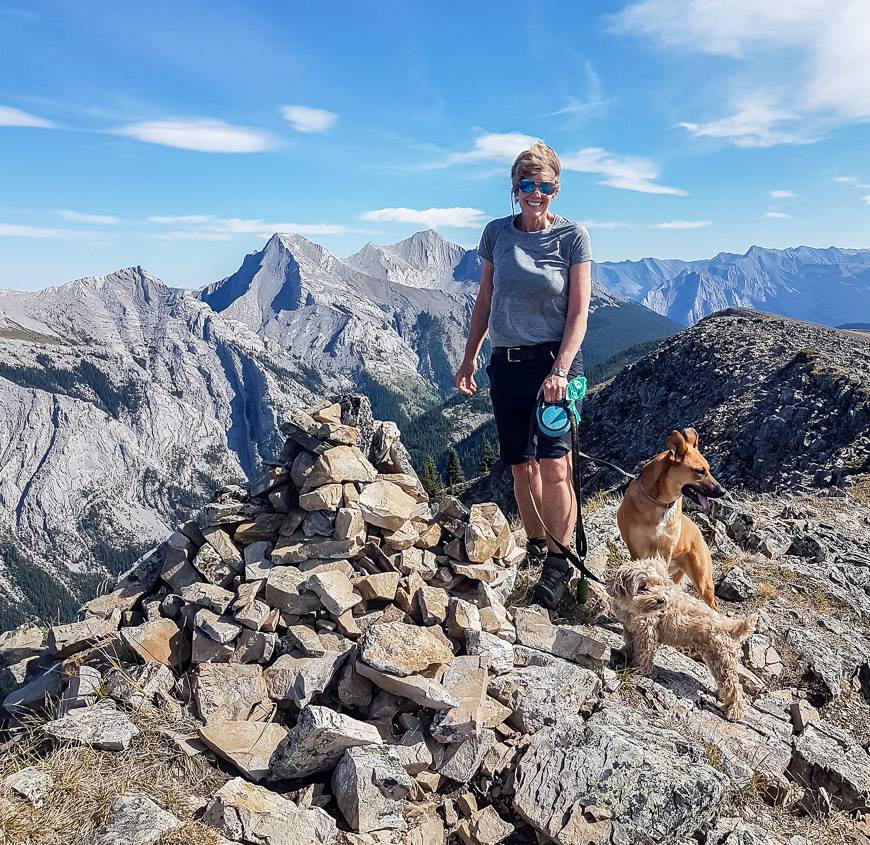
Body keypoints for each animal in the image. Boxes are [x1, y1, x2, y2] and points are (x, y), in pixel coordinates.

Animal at [612, 552, 756, 720]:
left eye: (659, 583)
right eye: (643, 586)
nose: (661, 600)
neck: (634, 607)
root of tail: (731, 626)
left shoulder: (647, 631)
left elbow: (644, 652)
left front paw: (638, 668)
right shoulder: (629, 628)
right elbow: (629, 642)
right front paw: (625, 653)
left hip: (722, 661)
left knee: (734, 687)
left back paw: (734, 711)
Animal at [616, 428, 724, 608]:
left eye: (708, 469)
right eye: (699, 471)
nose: (722, 491)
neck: (659, 502)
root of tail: (698, 532)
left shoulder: (665, 552)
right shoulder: (638, 550)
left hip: (702, 581)